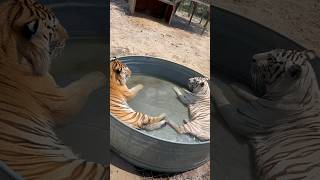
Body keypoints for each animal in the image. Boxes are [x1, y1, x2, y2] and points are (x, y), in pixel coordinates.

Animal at [212, 49, 320, 180]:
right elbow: (251, 95)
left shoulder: (240, 119)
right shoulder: (260, 102)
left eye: (271, 59)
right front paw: (236, 86)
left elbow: (222, 99)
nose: (253, 57)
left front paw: (211, 84)